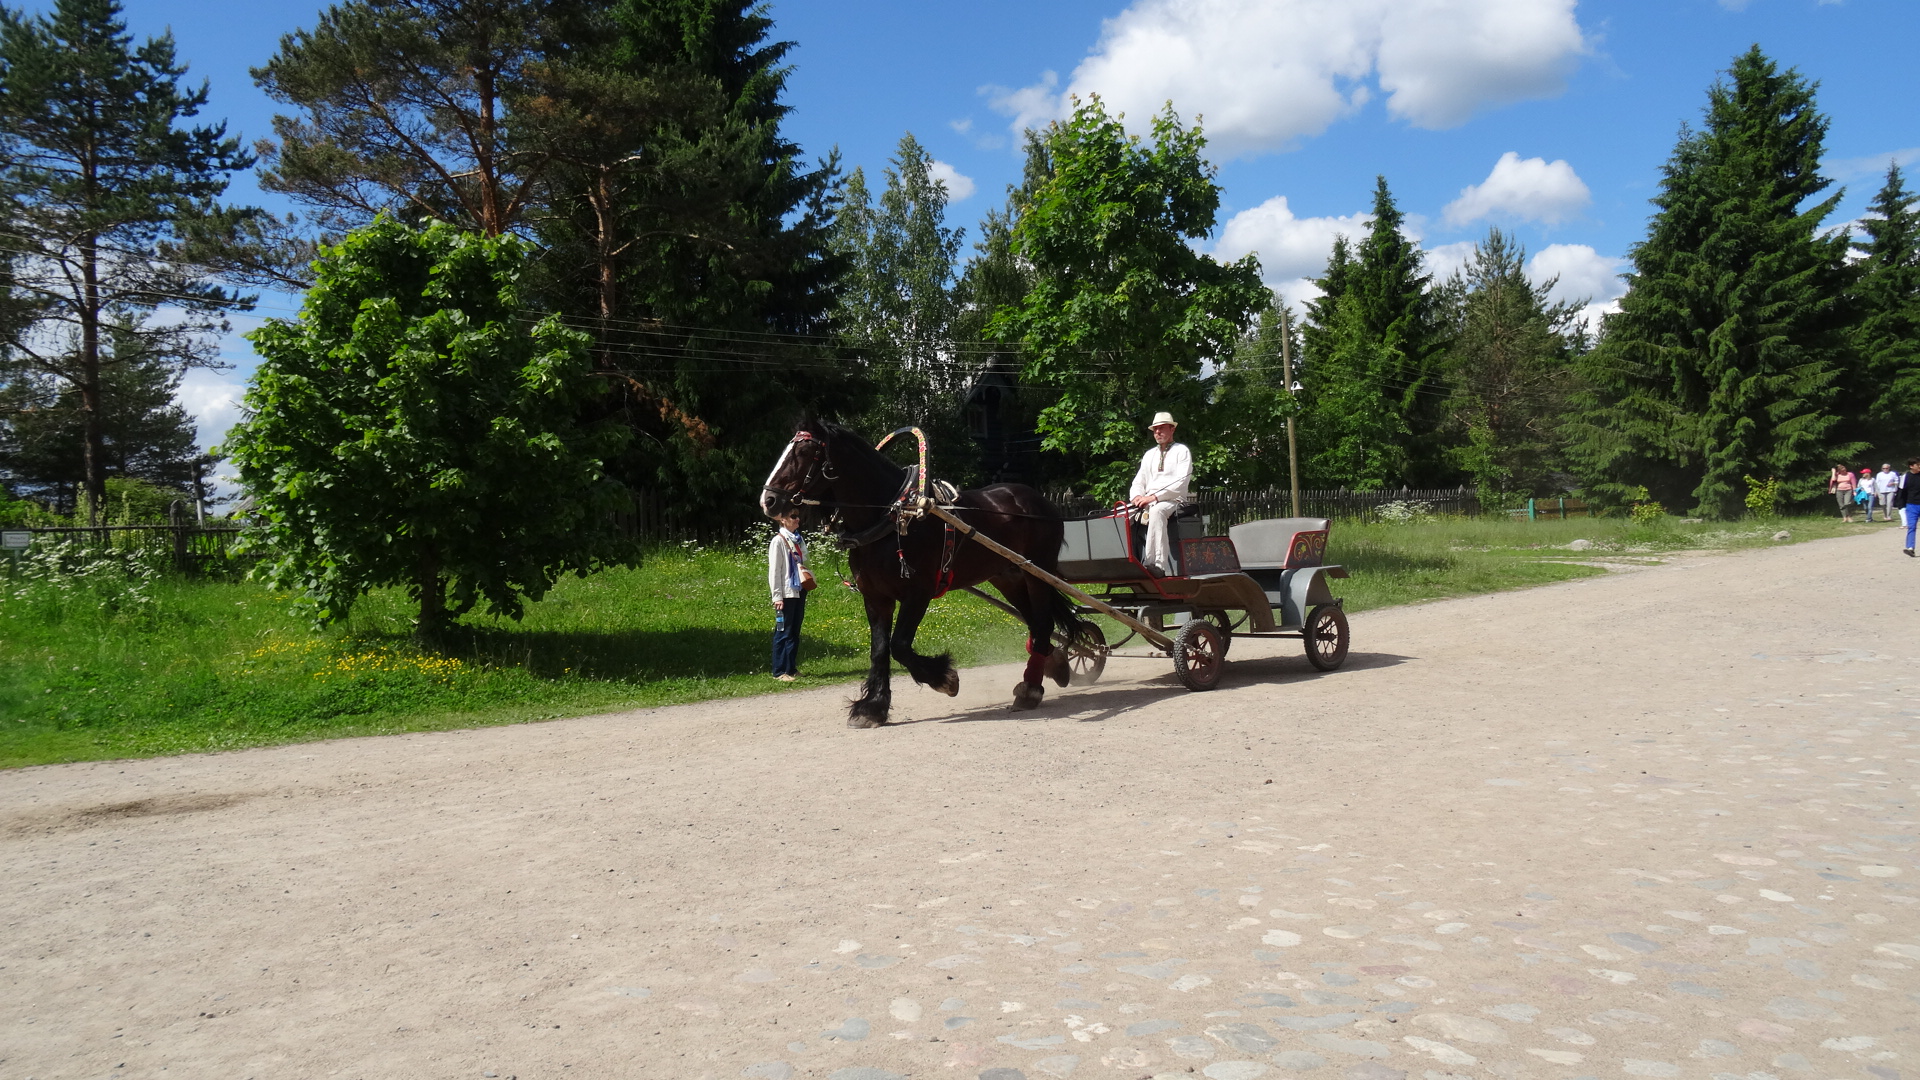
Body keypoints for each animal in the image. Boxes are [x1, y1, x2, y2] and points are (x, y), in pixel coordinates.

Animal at [760, 417, 1093, 727]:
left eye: (805, 452)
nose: (768, 500)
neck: (891, 516)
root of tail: (1039, 501)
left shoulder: (917, 593)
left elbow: (899, 646)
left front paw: (945, 679)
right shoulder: (876, 598)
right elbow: (879, 650)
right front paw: (873, 707)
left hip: (1038, 574)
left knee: (1043, 623)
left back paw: (1032, 689)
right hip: (1008, 577)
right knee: (1037, 624)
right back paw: (1054, 664)